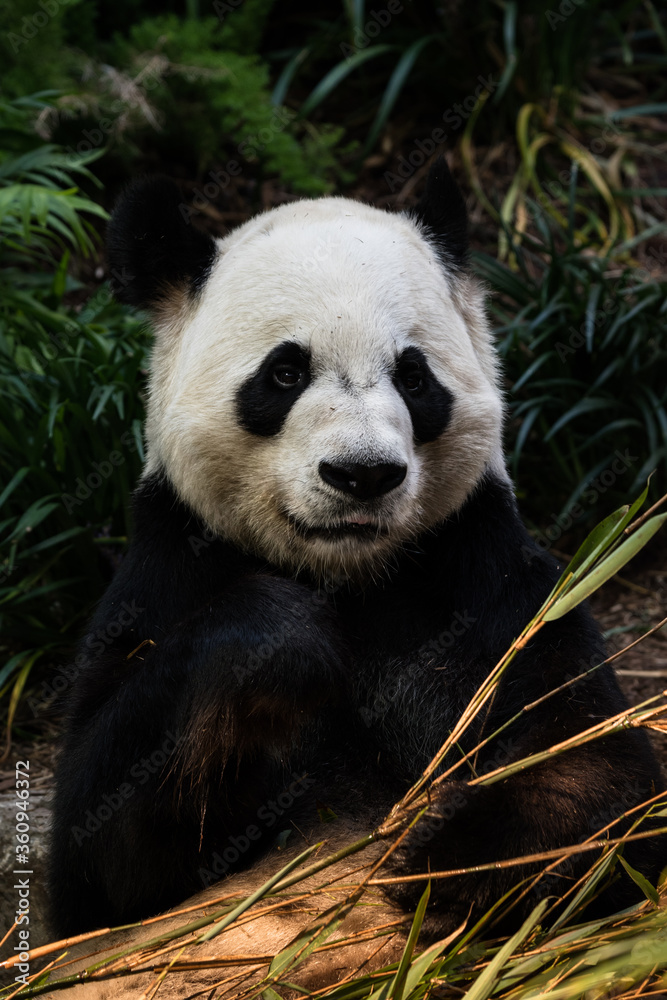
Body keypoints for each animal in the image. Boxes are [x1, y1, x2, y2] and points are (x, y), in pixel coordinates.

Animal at [48, 159, 664, 939]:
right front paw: (281, 641)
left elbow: (595, 763)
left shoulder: (487, 574)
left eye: (413, 375)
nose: (362, 473)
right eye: (284, 373)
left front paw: (441, 859)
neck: (348, 575)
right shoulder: (168, 570)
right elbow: (101, 855)